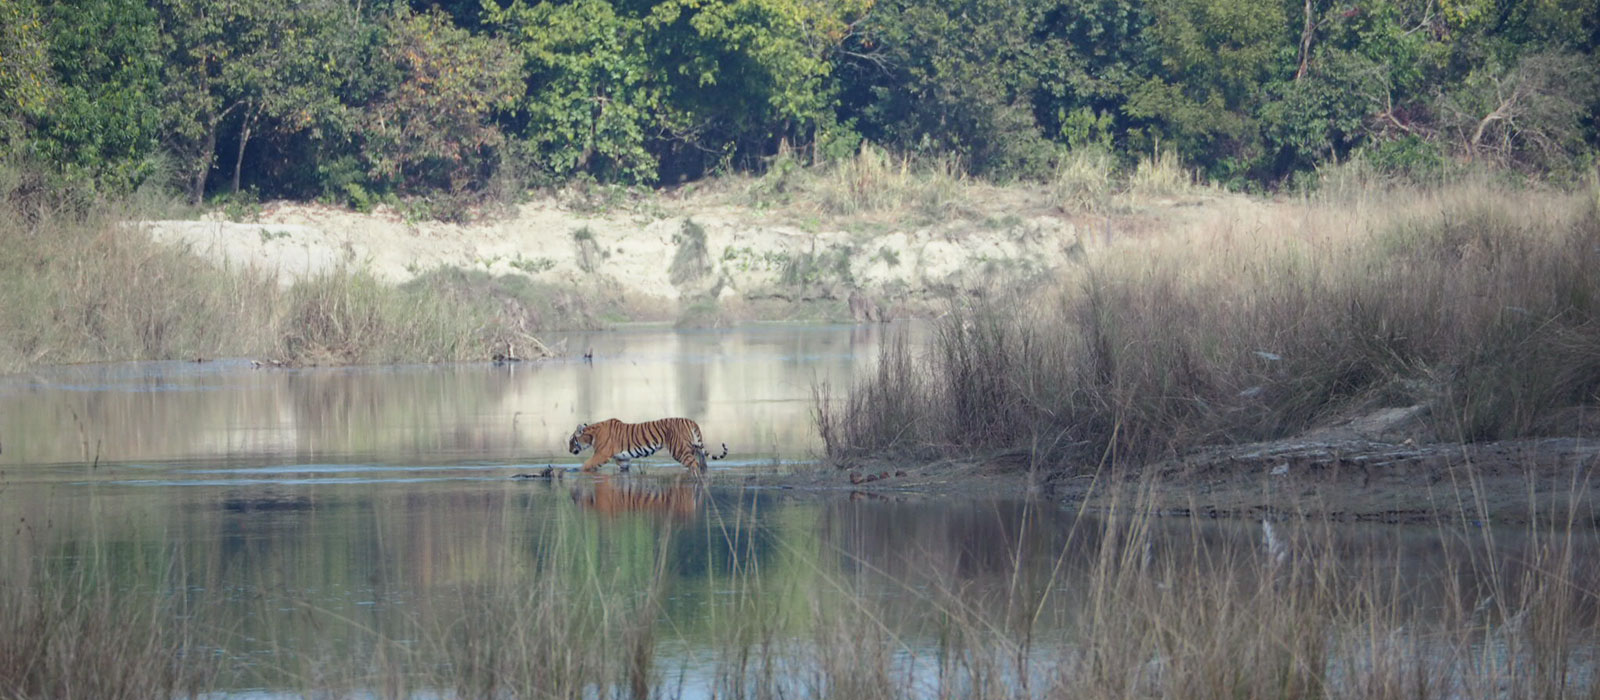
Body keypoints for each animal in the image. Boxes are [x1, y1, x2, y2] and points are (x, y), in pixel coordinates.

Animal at [569, 418, 732, 473]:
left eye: (571, 440)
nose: (569, 450)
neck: (592, 434)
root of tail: (691, 421)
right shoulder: (623, 459)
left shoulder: (601, 454)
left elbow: (586, 464)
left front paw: (574, 470)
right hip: (695, 448)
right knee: (703, 463)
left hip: (680, 451)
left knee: (694, 465)